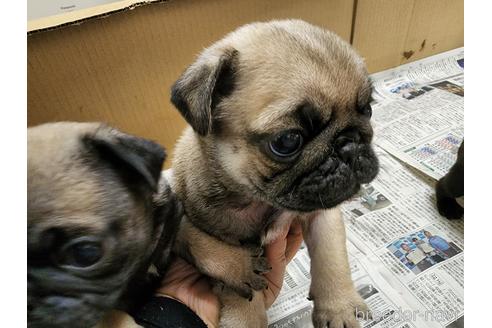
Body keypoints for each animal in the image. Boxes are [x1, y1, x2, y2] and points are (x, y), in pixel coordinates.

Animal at [168, 21, 376, 328]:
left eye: (369, 110)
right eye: (287, 141)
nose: (349, 144)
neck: (263, 202)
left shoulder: (323, 215)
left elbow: (332, 257)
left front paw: (338, 308)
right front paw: (239, 270)